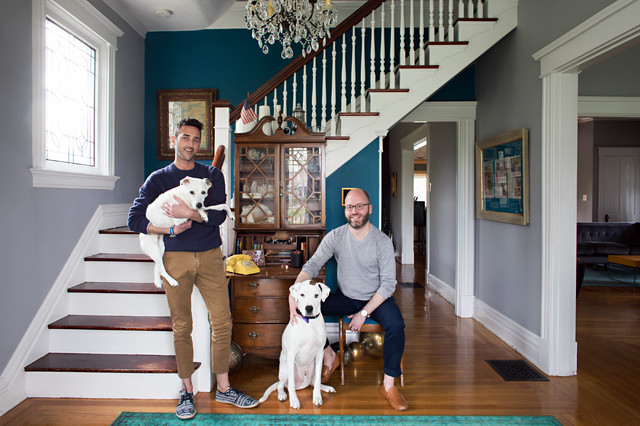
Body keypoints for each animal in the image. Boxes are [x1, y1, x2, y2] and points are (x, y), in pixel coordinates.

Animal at [258, 280, 336, 410]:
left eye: (316, 295)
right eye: (302, 295)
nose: (308, 308)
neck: (309, 323)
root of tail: (302, 384)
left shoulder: (320, 353)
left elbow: (318, 380)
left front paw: (317, 397)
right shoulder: (292, 353)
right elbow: (291, 385)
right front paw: (294, 400)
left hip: (313, 368)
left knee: (313, 382)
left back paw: (326, 388)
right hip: (285, 369)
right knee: (281, 385)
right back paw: (282, 394)